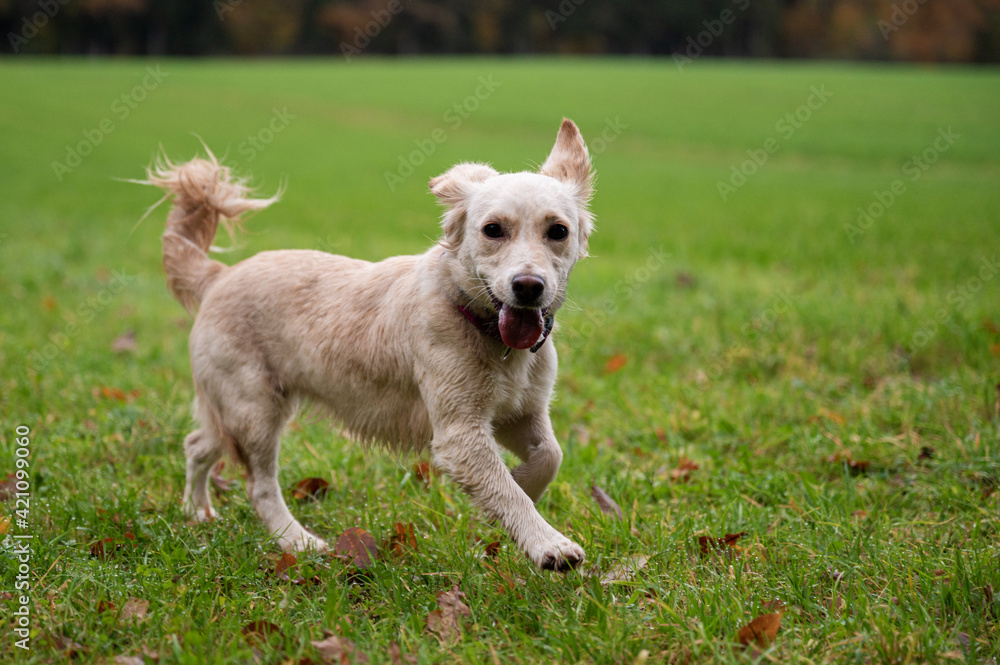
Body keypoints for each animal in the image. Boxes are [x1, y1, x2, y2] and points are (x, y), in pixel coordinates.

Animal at [148, 116, 592, 568]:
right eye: (493, 230)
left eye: (558, 231)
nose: (528, 286)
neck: (482, 327)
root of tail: (218, 275)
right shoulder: (459, 432)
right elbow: (506, 490)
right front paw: (547, 542)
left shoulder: (521, 413)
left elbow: (549, 456)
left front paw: (522, 488)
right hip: (253, 410)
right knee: (259, 485)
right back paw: (297, 541)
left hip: (230, 408)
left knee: (197, 445)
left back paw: (197, 510)